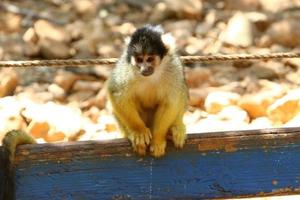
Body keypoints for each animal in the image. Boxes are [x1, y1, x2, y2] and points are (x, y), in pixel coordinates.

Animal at [107, 24, 188, 156]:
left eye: (149, 59)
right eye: (139, 60)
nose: (144, 69)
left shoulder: (173, 68)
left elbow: (171, 101)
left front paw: (158, 139)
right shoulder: (126, 67)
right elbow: (116, 93)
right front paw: (138, 131)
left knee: (182, 90)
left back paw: (176, 126)